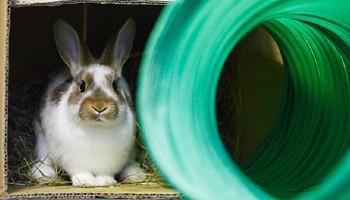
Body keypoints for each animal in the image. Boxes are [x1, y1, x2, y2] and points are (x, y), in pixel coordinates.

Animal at [29, 18, 146, 187]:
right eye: (82, 85)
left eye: (115, 85)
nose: (100, 107)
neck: (96, 129)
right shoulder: (72, 161)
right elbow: (80, 171)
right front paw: (85, 181)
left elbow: (106, 173)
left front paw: (105, 181)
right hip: (41, 141)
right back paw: (43, 175)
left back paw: (135, 174)